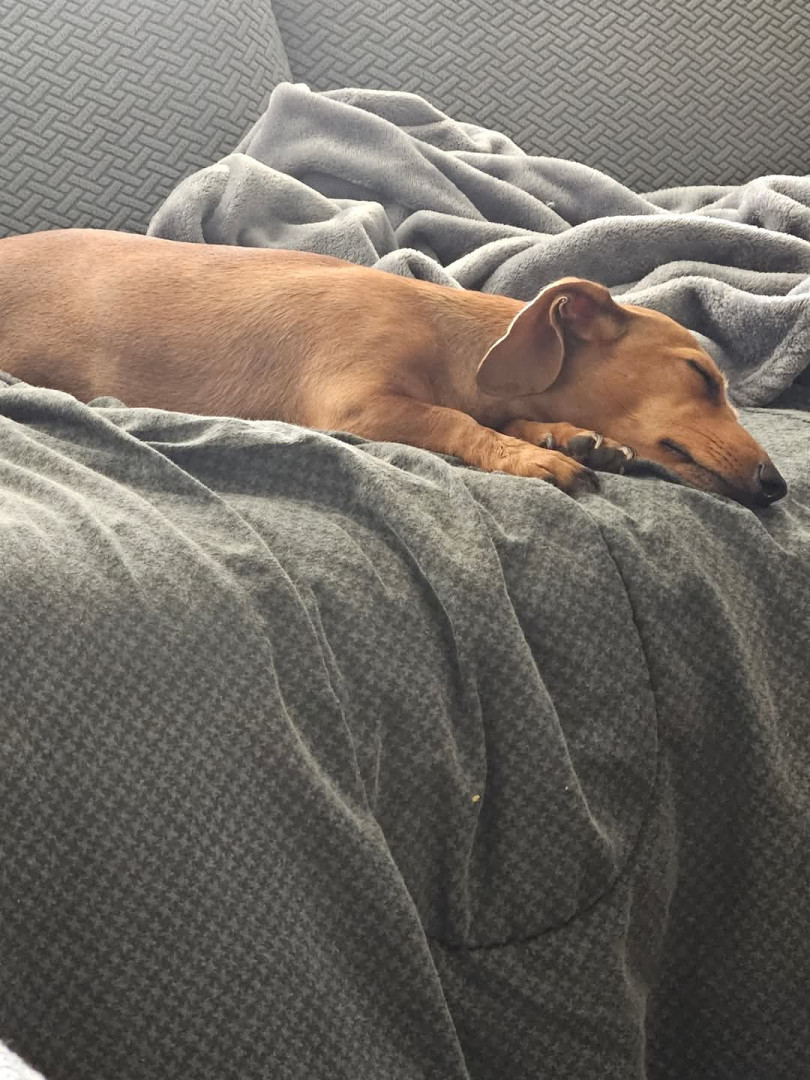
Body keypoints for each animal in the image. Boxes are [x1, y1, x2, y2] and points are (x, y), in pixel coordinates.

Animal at [0, 228, 787, 507]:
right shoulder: (358, 404)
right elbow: (454, 419)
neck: (453, 337)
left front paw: (561, 435)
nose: (778, 486)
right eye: (703, 376)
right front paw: (534, 457)